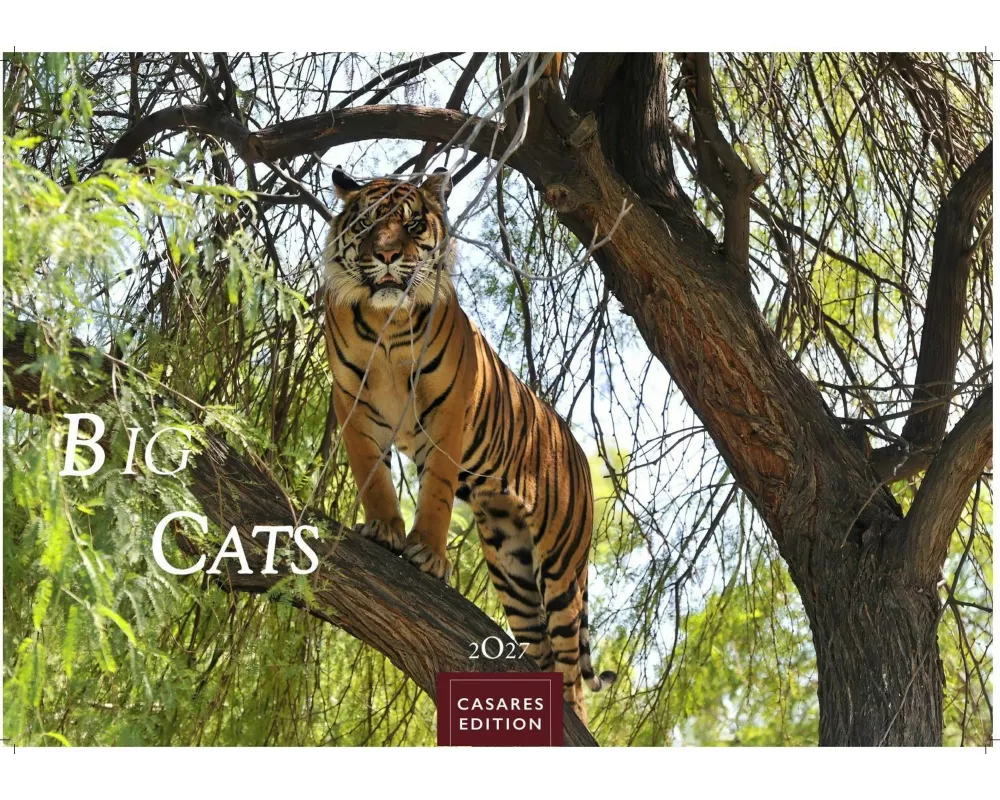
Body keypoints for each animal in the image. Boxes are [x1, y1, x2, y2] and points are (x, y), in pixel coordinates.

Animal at [322, 165, 615, 724]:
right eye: (368, 224)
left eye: (413, 225)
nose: (387, 255)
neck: (388, 323)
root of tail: (573, 444)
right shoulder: (352, 405)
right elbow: (373, 476)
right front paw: (383, 530)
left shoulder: (448, 410)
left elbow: (435, 492)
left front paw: (428, 555)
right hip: (510, 560)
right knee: (542, 647)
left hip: (562, 565)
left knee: (572, 666)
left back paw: (572, 714)